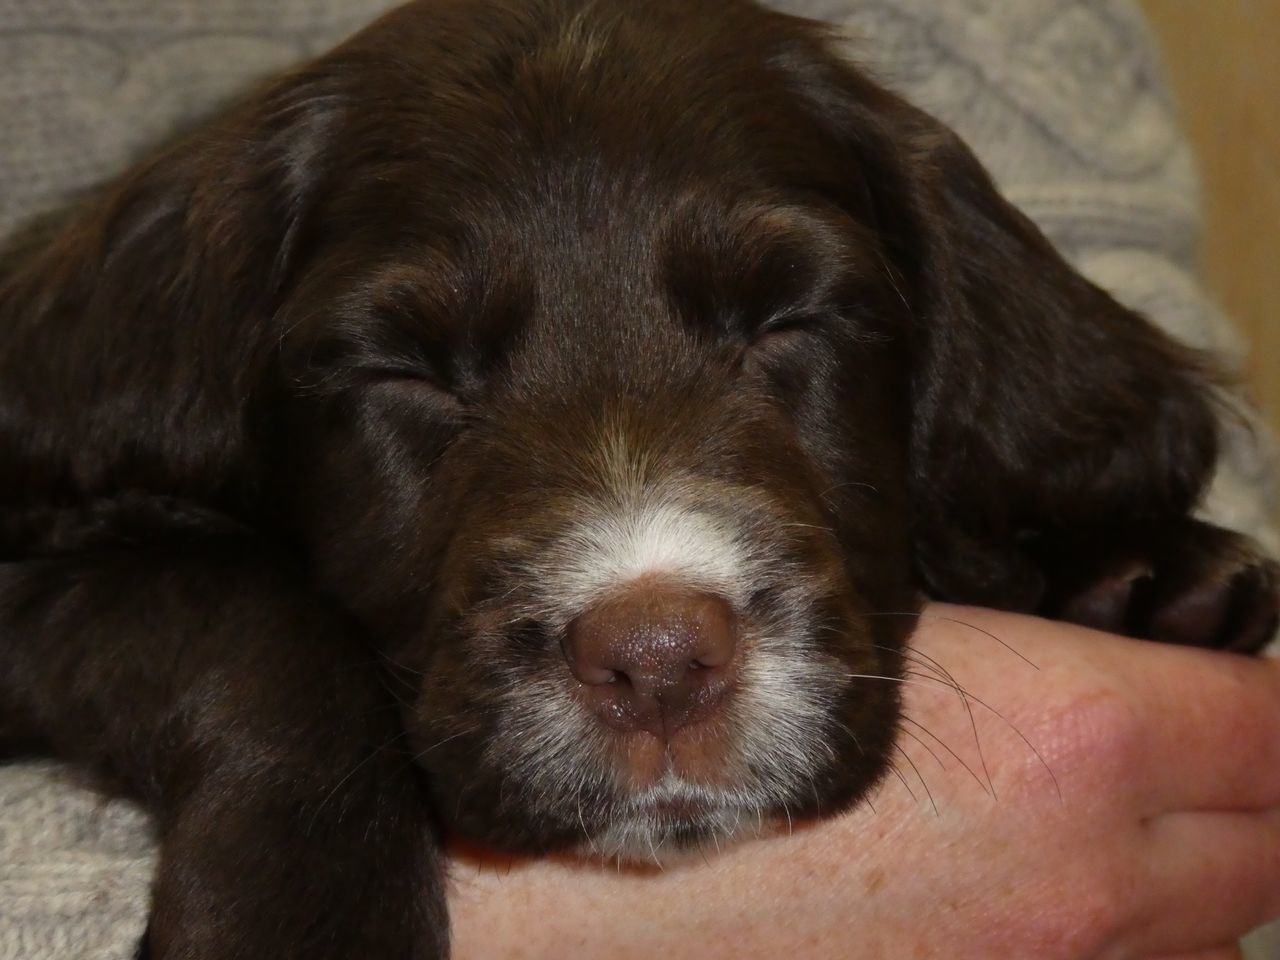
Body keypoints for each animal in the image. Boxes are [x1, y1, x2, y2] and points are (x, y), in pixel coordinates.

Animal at [0, 0, 1274, 957]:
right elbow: (252, 619)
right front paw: (298, 917)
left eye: (786, 322)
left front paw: (1147, 569)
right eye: (402, 371)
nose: (657, 663)